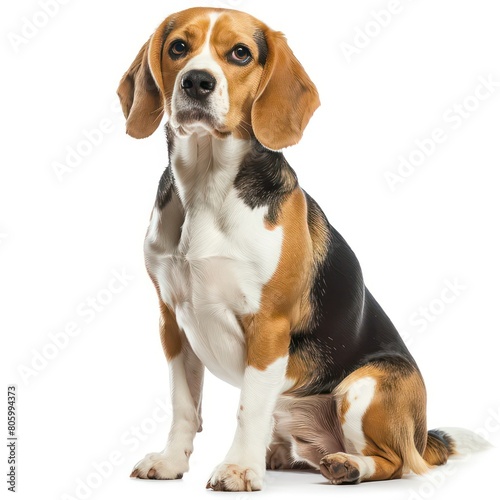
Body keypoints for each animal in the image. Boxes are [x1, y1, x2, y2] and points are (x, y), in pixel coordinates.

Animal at [116, 6, 484, 492]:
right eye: (178, 47)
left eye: (240, 53)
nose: (197, 81)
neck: (207, 187)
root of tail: (424, 436)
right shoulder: (172, 322)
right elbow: (183, 405)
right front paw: (172, 461)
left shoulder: (268, 326)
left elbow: (247, 408)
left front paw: (238, 469)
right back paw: (278, 456)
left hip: (365, 387)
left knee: (395, 463)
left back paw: (348, 465)